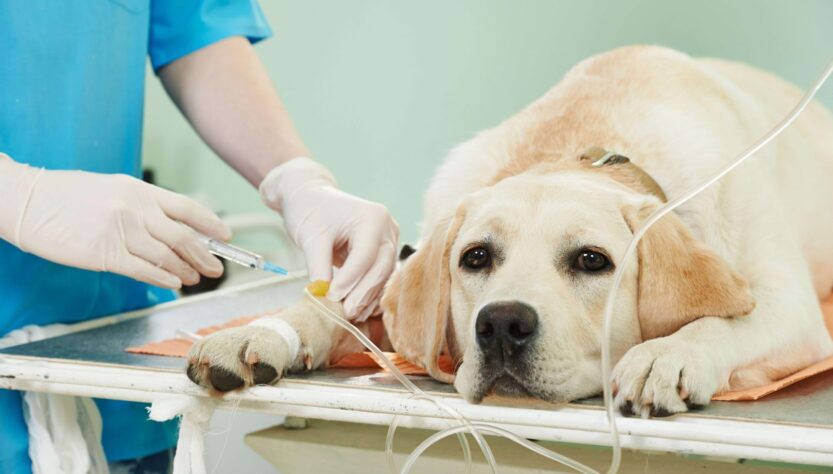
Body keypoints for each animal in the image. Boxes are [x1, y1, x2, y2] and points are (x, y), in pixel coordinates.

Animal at [185, 46, 832, 416]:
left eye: (592, 261)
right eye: (475, 258)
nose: (500, 324)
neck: (582, 146)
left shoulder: (796, 311)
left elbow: (719, 321)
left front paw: (666, 355)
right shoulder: (394, 283)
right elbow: (333, 307)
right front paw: (262, 331)